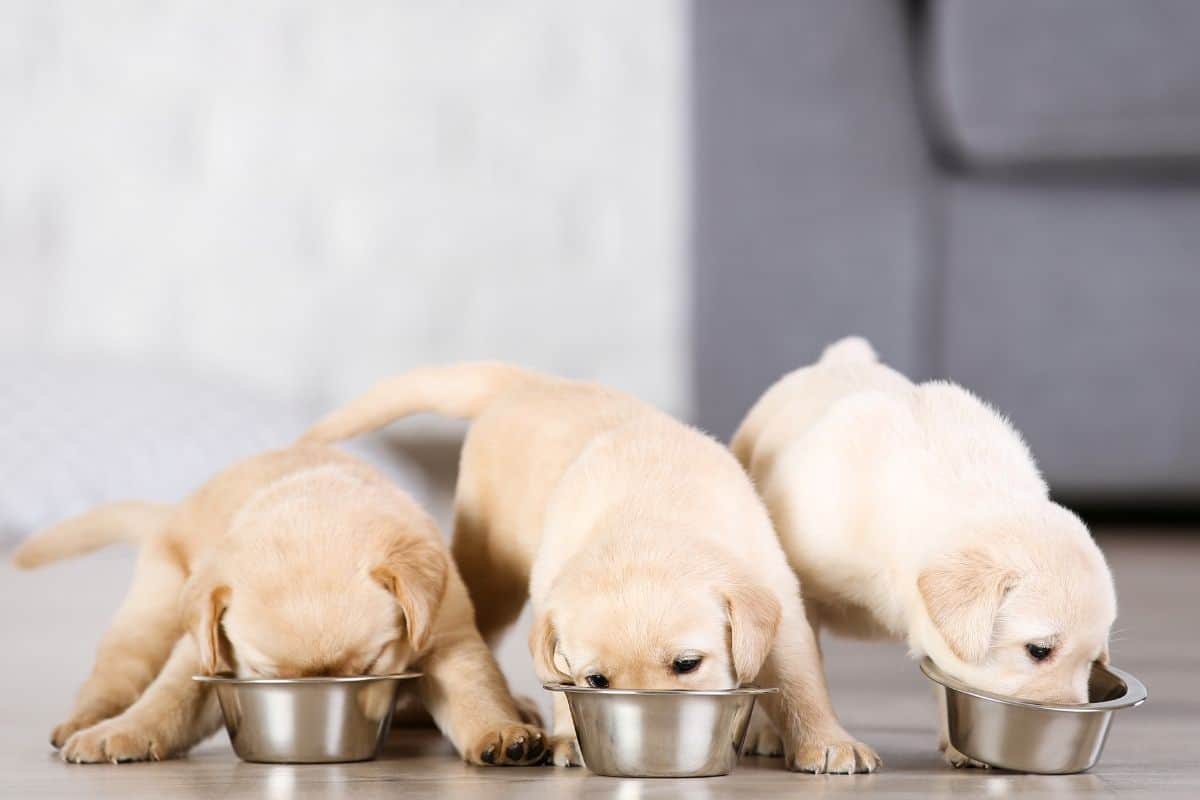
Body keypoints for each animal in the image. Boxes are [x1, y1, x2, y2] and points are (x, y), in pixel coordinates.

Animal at [11, 448, 547, 767]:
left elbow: (475, 691)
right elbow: (169, 699)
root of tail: (172, 511)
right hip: (151, 613)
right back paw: (88, 721)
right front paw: (122, 732)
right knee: (115, 675)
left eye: (370, 666)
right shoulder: (206, 655)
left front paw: (501, 731)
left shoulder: (447, 637)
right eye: (268, 675)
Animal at [300, 364, 883, 777]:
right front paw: (566, 737)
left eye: (688, 665)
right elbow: (558, 680)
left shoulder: (778, 599)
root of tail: (529, 383)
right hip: (489, 569)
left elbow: (802, 681)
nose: (657, 733)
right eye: (597, 681)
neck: (650, 515)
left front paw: (828, 742)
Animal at [734, 335, 1118, 767]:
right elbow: (798, 672)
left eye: (1093, 661)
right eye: (1039, 650)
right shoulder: (800, 591)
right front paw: (829, 743)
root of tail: (840, 359)